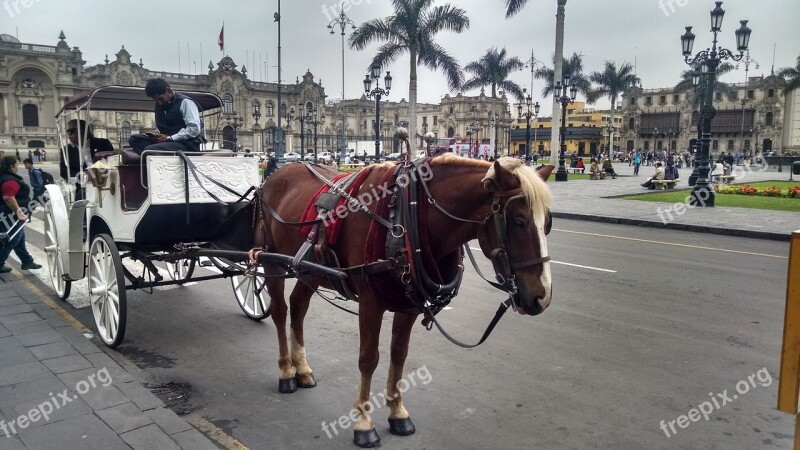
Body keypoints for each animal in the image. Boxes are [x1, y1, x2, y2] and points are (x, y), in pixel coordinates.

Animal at [253, 154, 552, 446]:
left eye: (547, 224)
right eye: (518, 221)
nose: (543, 297)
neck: (408, 220)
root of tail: (275, 174)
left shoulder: (408, 305)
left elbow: (399, 354)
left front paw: (397, 412)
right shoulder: (370, 303)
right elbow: (368, 359)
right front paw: (364, 422)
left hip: (310, 270)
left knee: (298, 307)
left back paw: (302, 369)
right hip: (270, 260)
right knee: (280, 310)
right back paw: (286, 372)